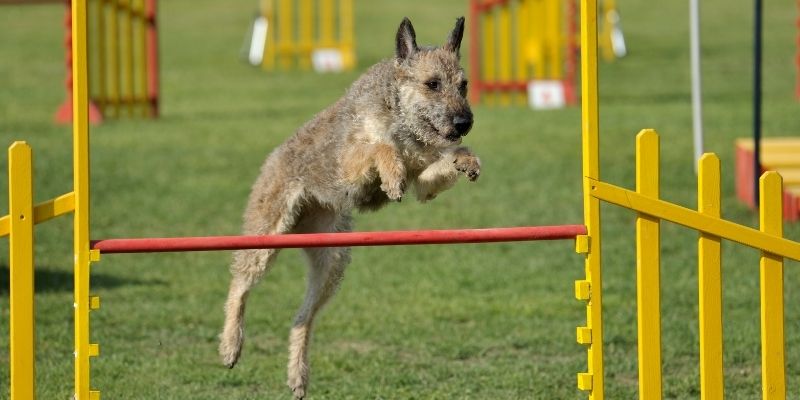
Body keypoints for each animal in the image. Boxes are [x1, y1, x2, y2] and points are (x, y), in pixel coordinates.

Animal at [217, 17, 482, 398]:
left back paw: (298, 376)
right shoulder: (349, 163)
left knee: (302, 318)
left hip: (332, 261)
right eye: (432, 84)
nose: (464, 123)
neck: (400, 115)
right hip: (264, 238)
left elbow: (438, 165)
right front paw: (391, 176)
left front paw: (466, 159)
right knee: (239, 287)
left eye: (463, 85)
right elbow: (380, 148)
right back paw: (230, 346)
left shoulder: (424, 180)